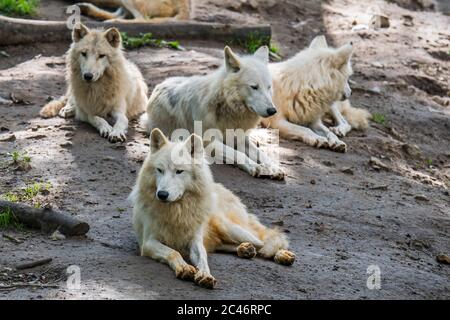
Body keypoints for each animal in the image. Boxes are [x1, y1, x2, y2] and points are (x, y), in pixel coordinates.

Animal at [128, 129, 296, 288]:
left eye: (179, 171)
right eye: (159, 170)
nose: (162, 194)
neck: (177, 210)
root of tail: (222, 189)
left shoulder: (195, 240)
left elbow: (203, 258)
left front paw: (205, 275)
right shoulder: (148, 242)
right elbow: (173, 252)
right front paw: (185, 268)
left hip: (231, 230)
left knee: (265, 243)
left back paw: (282, 255)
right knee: (244, 246)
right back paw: (245, 250)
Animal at [144, 45, 284, 180]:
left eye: (269, 87)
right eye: (254, 87)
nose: (272, 111)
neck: (228, 108)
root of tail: (161, 83)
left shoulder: (239, 138)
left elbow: (262, 154)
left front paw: (273, 167)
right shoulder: (210, 143)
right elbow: (238, 154)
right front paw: (255, 166)